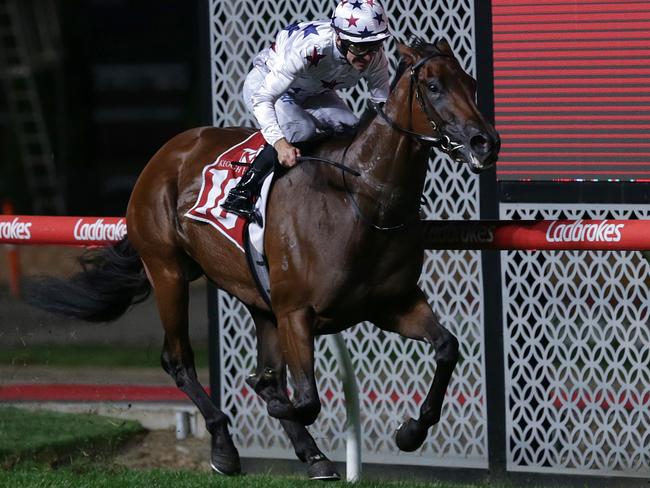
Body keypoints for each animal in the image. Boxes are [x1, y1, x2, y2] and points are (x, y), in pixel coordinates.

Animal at [27, 39, 498, 480]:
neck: (362, 199)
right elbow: (304, 399)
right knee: (178, 360)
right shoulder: (296, 312)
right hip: (167, 270)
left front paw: (410, 432)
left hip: (257, 299)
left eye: (472, 83)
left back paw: (312, 454)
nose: (485, 142)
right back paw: (224, 448)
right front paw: (272, 407)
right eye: (434, 86)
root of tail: (168, 151)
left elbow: (447, 347)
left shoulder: (390, 305)